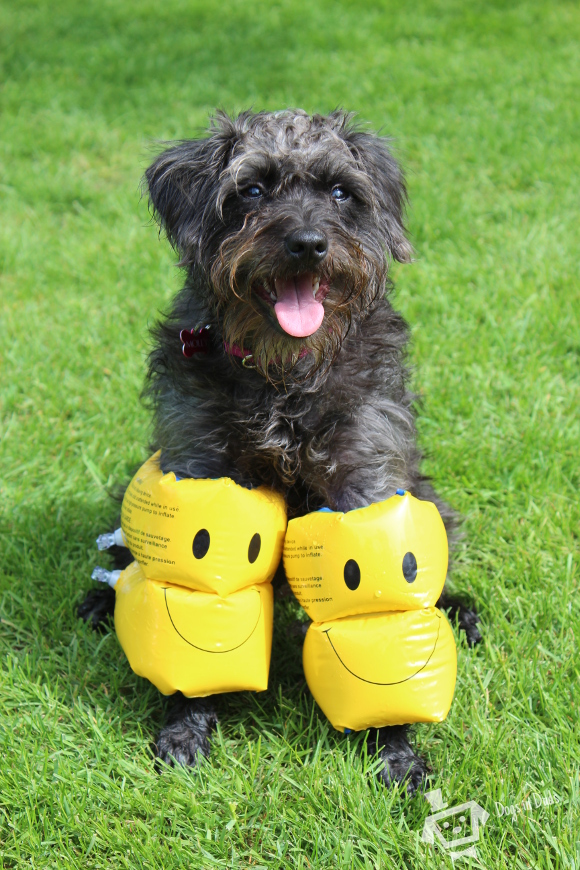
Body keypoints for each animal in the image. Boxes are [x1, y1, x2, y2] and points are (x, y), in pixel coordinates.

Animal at [81, 110, 480, 796]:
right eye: (252, 190)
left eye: (341, 192)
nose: (308, 243)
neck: (283, 374)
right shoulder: (200, 463)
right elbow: (200, 589)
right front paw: (187, 720)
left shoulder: (364, 474)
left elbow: (381, 608)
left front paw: (395, 748)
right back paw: (100, 598)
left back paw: (462, 612)